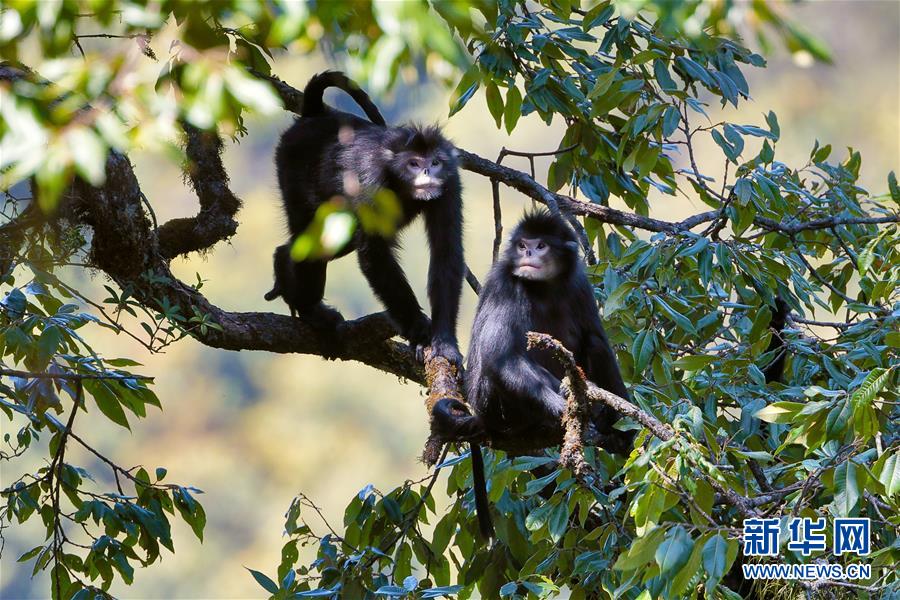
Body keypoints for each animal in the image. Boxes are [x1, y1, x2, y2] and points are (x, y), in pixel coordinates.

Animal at [266, 72, 464, 364]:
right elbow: (374, 252)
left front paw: (445, 342)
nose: (427, 172)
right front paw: (419, 331)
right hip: (293, 170)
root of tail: (314, 114)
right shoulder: (373, 182)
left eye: (435, 162)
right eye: (414, 163)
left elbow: (446, 252)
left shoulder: (449, 183)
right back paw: (310, 309)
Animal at [434, 211, 632, 540]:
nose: (527, 254)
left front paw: (622, 426)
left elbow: (597, 336)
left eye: (541, 246)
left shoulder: (578, 284)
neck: (543, 287)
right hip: (497, 408)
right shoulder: (505, 284)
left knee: (593, 342)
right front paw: (564, 409)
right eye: (523, 244)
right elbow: (501, 358)